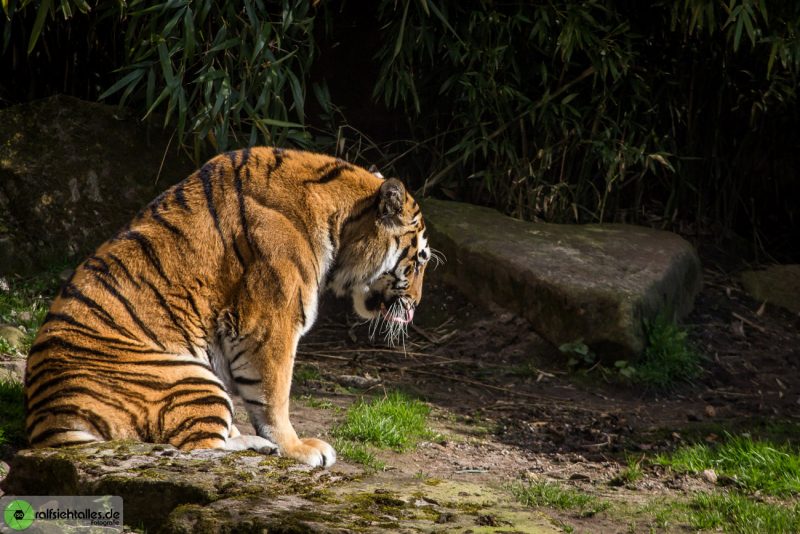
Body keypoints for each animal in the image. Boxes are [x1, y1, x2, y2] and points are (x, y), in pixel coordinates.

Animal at [23, 148, 432, 468]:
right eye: (420, 260)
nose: (415, 306)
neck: (341, 220)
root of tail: (48, 424)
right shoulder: (272, 322)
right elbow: (274, 396)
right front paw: (297, 449)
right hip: (189, 377)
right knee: (194, 447)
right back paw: (258, 445)